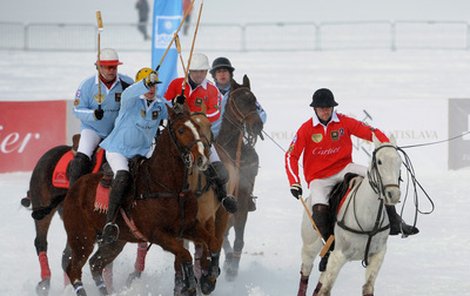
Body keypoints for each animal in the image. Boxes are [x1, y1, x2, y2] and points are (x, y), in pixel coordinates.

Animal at [61, 107, 212, 296]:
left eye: (197, 127)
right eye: (181, 130)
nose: (202, 158)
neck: (170, 187)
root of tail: (74, 187)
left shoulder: (189, 226)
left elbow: (209, 242)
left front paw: (208, 277)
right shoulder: (158, 234)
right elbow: (185, 254)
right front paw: (190, 285)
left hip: (115, 242)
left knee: (96, 264)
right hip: (81, 237)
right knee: (73, 269)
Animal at [300, 136, 402, 296]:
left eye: (399, 161)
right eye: (379, 161)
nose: (393, 194)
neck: (368, 217)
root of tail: (308, 199)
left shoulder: (378, 254)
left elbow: (367, 288)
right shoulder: (338, 255)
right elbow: (326, 290)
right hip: (310, 245)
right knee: (306, 271)